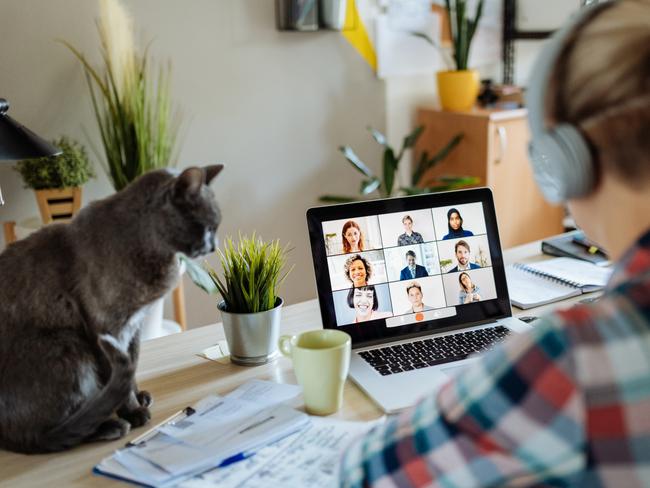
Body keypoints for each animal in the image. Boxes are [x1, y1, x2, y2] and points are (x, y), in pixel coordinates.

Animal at [0, 165, 223, 454]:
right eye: (207, 227)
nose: (214, 246)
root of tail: (2, 436)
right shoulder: (105, 327)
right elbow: (117, 371)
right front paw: (133, 411)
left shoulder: (134, 327)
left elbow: (132, 365)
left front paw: (138, 396)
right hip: (67, 343)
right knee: (44, 435)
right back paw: (110, 425)